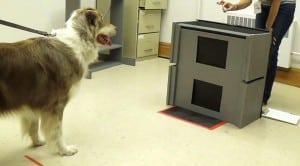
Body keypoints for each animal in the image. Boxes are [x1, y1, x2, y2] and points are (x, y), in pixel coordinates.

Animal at [0, 7, 116, 156]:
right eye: (102, 19)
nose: (116, 28)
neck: (78, 40)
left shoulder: (33, 100)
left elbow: (34, 125)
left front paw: (37, 142)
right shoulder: (56, 104)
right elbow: (57, 131)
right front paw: (65, 150)